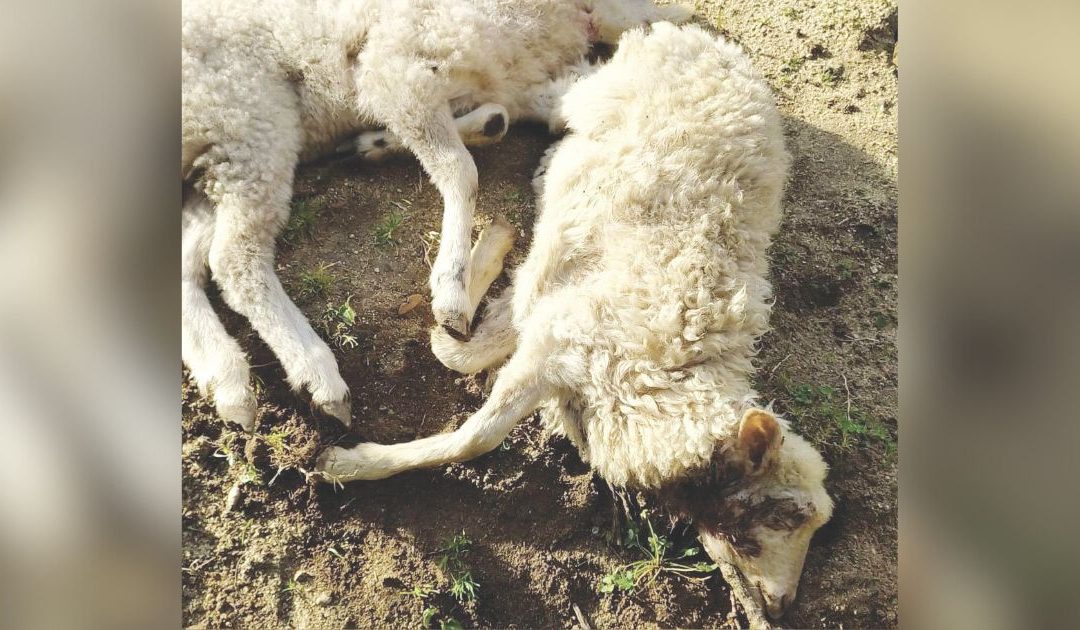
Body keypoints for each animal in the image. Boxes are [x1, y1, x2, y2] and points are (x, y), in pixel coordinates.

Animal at [181, 0, 691, 430]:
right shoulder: (402, 73)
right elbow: (459, 170)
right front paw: (450, 290)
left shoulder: (505, 83)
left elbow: (510, 115)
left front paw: (382, 143)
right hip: (249, 118)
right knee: (234, 259)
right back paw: (314, 371)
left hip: (219, 152)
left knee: (188, 262)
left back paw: (226, 379)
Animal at [314, 23, 834, 621]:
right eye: (782, 515)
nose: (782, 605)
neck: (676, 376)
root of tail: (704, 41)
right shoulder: (560, 344)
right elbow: (473, 433)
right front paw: (349, 463)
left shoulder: (554, 325)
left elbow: (472, 351)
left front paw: (481, 267)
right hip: (587, 95)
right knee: (531, 98)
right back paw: (398, 142)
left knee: (521, 105)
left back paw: (405, 142)